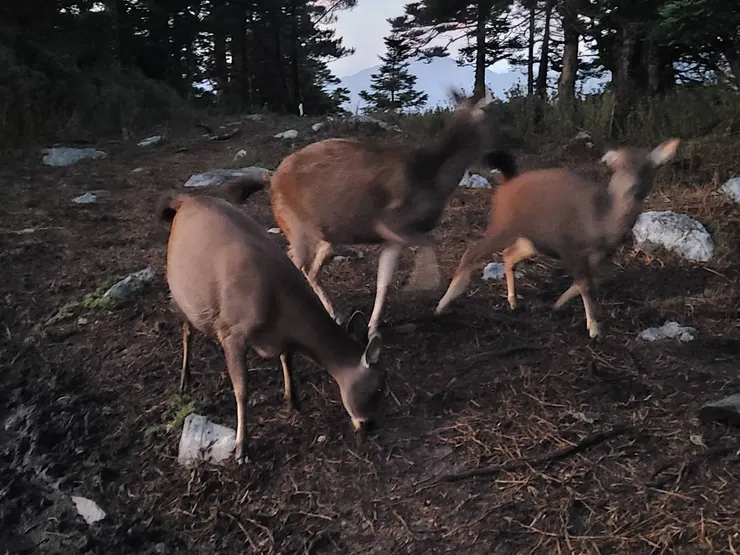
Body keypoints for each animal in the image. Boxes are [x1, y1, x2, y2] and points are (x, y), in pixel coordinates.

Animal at [156, 181, 386, 463]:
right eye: (378, 388)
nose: (370, 425)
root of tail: (185, 201)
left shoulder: (281, 338)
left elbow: (287, 358)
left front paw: (292, 400)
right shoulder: (232, 332)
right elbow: (242, 389)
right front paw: (242, 448)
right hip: (181, 292)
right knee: (186, 330)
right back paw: (184, 379)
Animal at [262, 91, 518, 340]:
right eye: (495, 112)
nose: (507, 143)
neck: (433, 177)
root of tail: (273, 180)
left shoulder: (390, 238)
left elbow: (383, 281)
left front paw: (373, 327)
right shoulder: (390, 221)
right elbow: (429, 246)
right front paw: (429, 290)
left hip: (328, 235)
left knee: (311, 269)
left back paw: (336, 315)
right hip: (296, 225)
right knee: (292, 262)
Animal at [434, 138, 680, 338]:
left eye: (648, 168)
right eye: (617, 167)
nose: (632, 188)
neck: (601, 224)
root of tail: (507, 182)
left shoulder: (601, 256)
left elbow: (591, 281)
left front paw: (557, 304)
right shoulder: (569, 246)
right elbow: (585, 284)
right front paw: (593, 328)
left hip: (532, 239)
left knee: (509, 254)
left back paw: (512, 300)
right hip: (503, 223)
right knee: (472, 251)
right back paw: (442, 304)